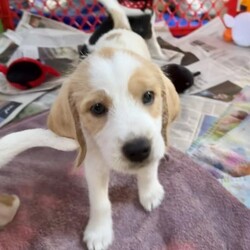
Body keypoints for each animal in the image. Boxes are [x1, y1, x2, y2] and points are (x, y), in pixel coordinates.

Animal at [0, 0, 180, 249]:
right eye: (97, 108)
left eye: (148, 96)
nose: (138, 150)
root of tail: (119, 29)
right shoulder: (94, 166)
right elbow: (100, 202)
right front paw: (99, 232)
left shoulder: (153, 142)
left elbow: (148, 170)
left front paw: (150, 192)